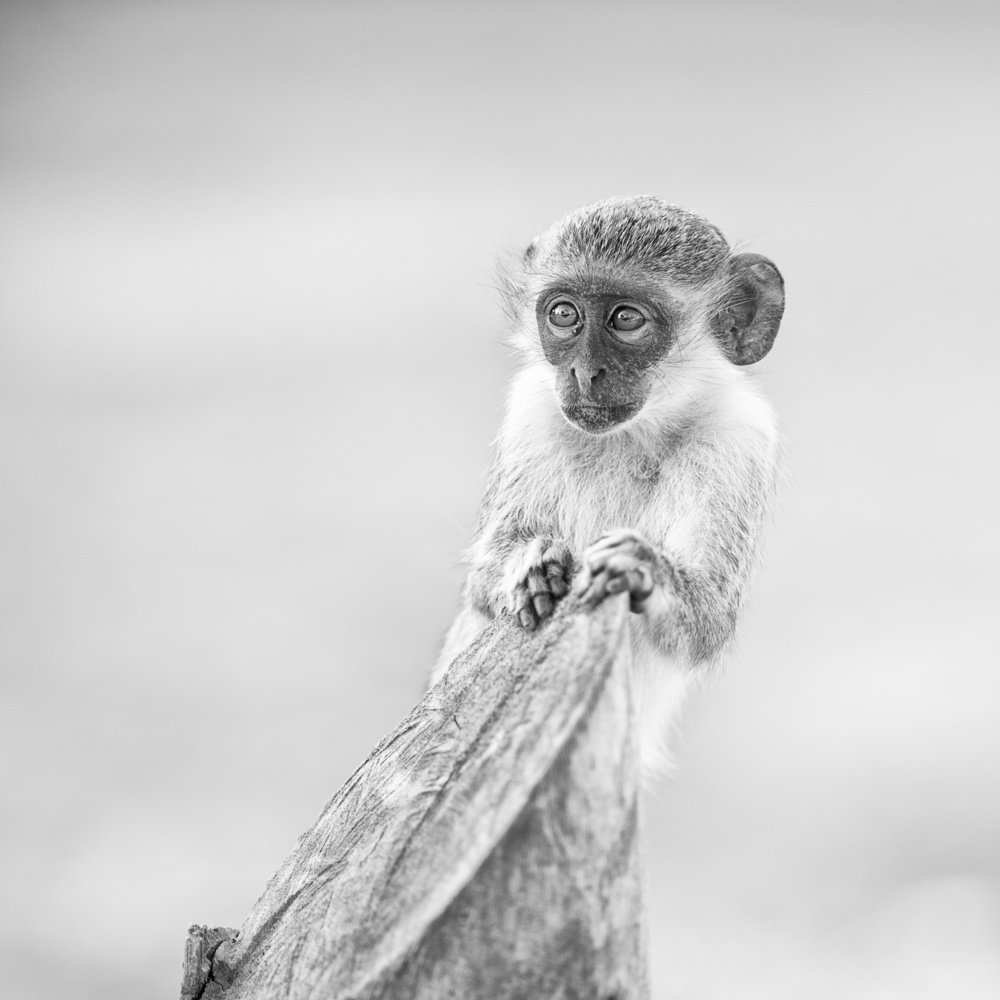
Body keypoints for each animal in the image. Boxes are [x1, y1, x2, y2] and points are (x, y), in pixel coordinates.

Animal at [430, 196, 784, 769]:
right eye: (564, 314)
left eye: (625, 319)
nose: (584, 371)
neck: (632, 436)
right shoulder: (530, 408)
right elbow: (481, 584)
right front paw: (528, 565)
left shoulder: (740, 438)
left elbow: (709, 621)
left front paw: (642, 567)